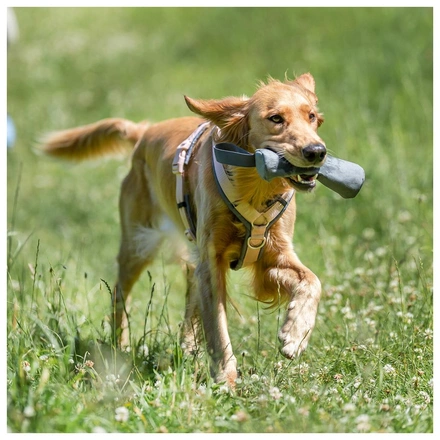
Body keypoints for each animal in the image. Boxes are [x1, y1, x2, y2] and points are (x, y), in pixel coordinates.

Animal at [43, 72, 326, 384]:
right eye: (276, 118)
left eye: (311, 116)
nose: (317, 151)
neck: (253, 186)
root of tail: (145, 132)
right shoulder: (212, 261)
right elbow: (218, 327)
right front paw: (226, 378)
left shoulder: (273, 254)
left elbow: (313, 281)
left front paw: (296, 334)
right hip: (139, 244)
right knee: (119, 293)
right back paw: (121, 345)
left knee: (189, 285)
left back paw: (188, 343)